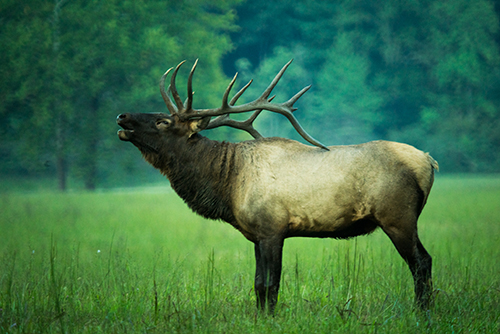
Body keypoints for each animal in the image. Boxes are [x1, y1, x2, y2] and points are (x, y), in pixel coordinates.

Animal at [117, 58, 438, 312]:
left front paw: (271, 317)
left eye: (163, 121)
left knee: (421, 262)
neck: (228, 185)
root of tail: (428, 162)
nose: (122, 116)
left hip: (397, 216)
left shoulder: (273, 229)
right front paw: (260, 317)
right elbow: (258, 284)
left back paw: (421, 312)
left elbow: (272, 284)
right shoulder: (256, 235)